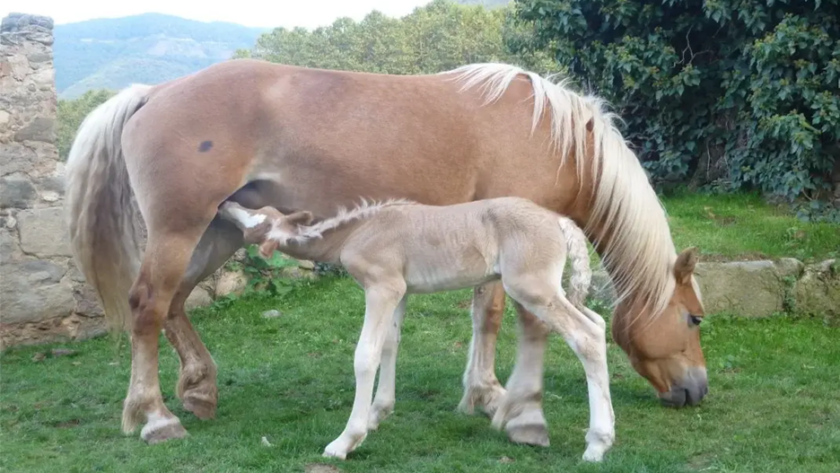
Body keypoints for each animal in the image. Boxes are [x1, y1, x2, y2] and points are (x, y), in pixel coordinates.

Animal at [217, 195, 612, 460]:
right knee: (598, 321)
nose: (226, 203)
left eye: (254, 220)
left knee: (586, 335)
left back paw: (597, 444)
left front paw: (346, 440)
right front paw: (377, 415)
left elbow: (365, 355)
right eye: (262, 210)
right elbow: (390, 343)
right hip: (550, 288)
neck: (356, 232)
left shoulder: (382, 286)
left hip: (531, 286)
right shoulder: (401, 290)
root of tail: (561, 221)